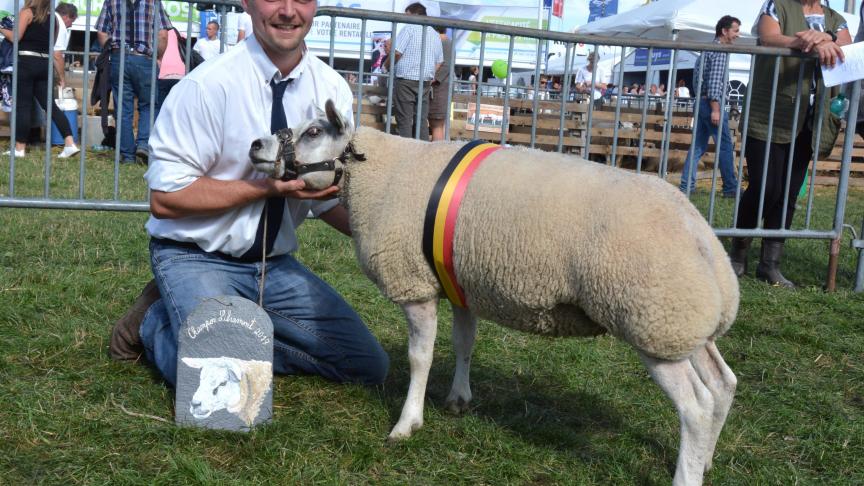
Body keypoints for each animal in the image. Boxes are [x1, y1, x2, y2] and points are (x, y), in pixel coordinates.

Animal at [250, 102, 744, 486]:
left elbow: (420, 358)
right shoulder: (459, 279)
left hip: (655, 322)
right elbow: (464, 344)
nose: (256, 145)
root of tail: (705, 241)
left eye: (314, 132)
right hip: (690, 327)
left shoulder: (415, 286)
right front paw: (458, 399)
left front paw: (408, 422)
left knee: (696, 406)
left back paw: (687, 474)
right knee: (723, 384)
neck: (381, 169)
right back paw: (706, 460)